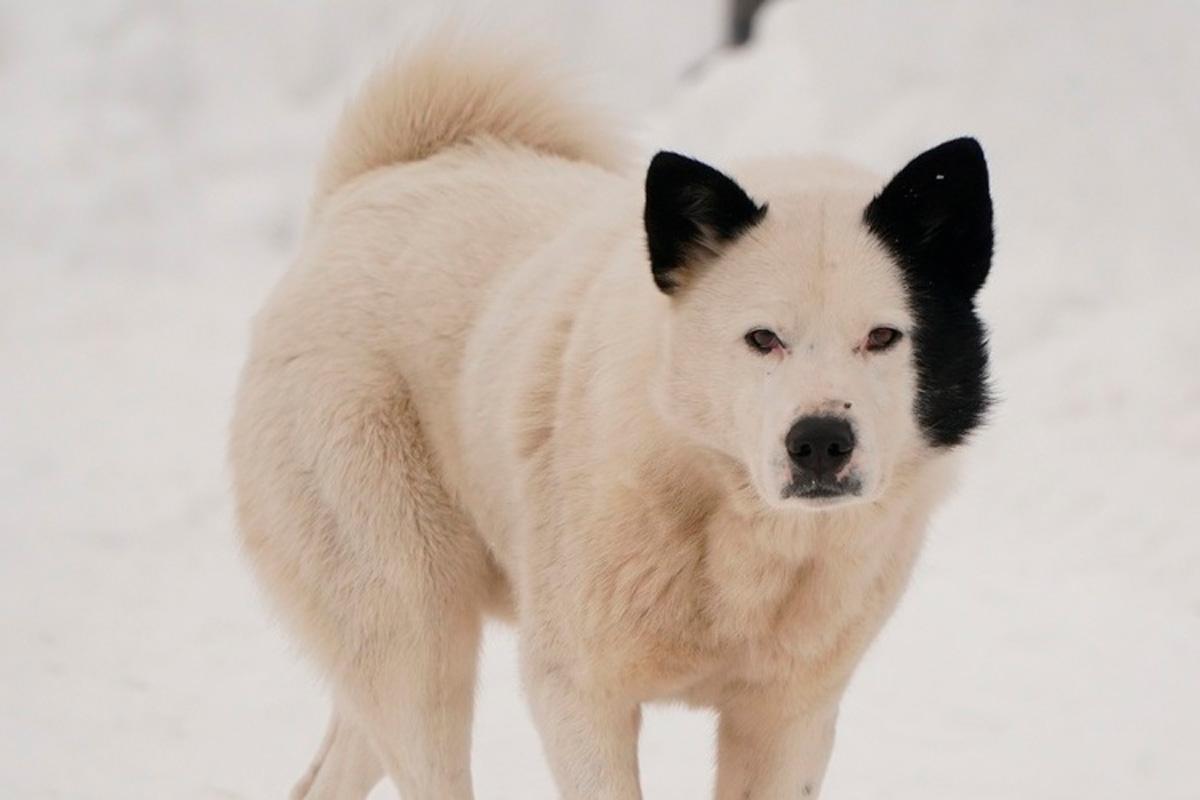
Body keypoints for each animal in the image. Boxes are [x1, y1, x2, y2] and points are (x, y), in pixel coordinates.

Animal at [226, 34, 993, 796]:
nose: (821, 443)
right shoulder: (577, 694)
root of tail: (366, 187)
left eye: (882, 337)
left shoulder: (788, 719)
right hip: (416, 633)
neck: (732, 521)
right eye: (762, 338)